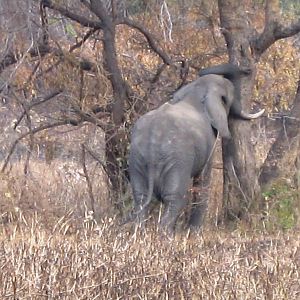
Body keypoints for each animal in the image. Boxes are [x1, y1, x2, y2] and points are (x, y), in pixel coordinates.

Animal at [127, 63, 264, 234]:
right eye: (228, 98)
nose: (248, 70)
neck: (195, 91)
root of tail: (152, 143)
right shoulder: (209, 140)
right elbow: (203, 178)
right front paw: (194, 233)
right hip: (177, 159)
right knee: (174, 198)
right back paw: (167, 236)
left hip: (137, 158)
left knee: (140, 197)